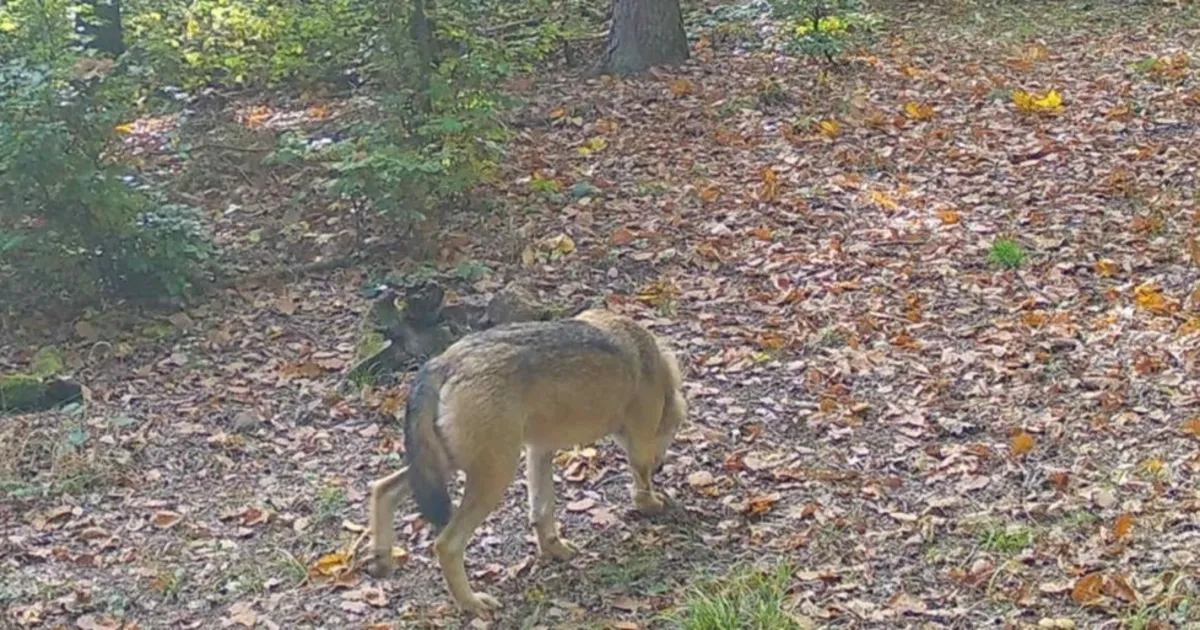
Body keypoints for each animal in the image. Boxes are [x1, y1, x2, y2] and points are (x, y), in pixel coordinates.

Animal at [363, 308, 688, 617]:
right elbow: (641, 485)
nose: (662, 467)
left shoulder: (539, 451)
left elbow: (542, 512)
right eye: (673, 431)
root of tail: (444, 361)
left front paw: (555, 551)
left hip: (446, 464)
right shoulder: (640, 447)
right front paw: (654, 505)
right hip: (493, 474)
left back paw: (381, 560)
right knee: (446, 544)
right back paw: (471, 603)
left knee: (383, 488)